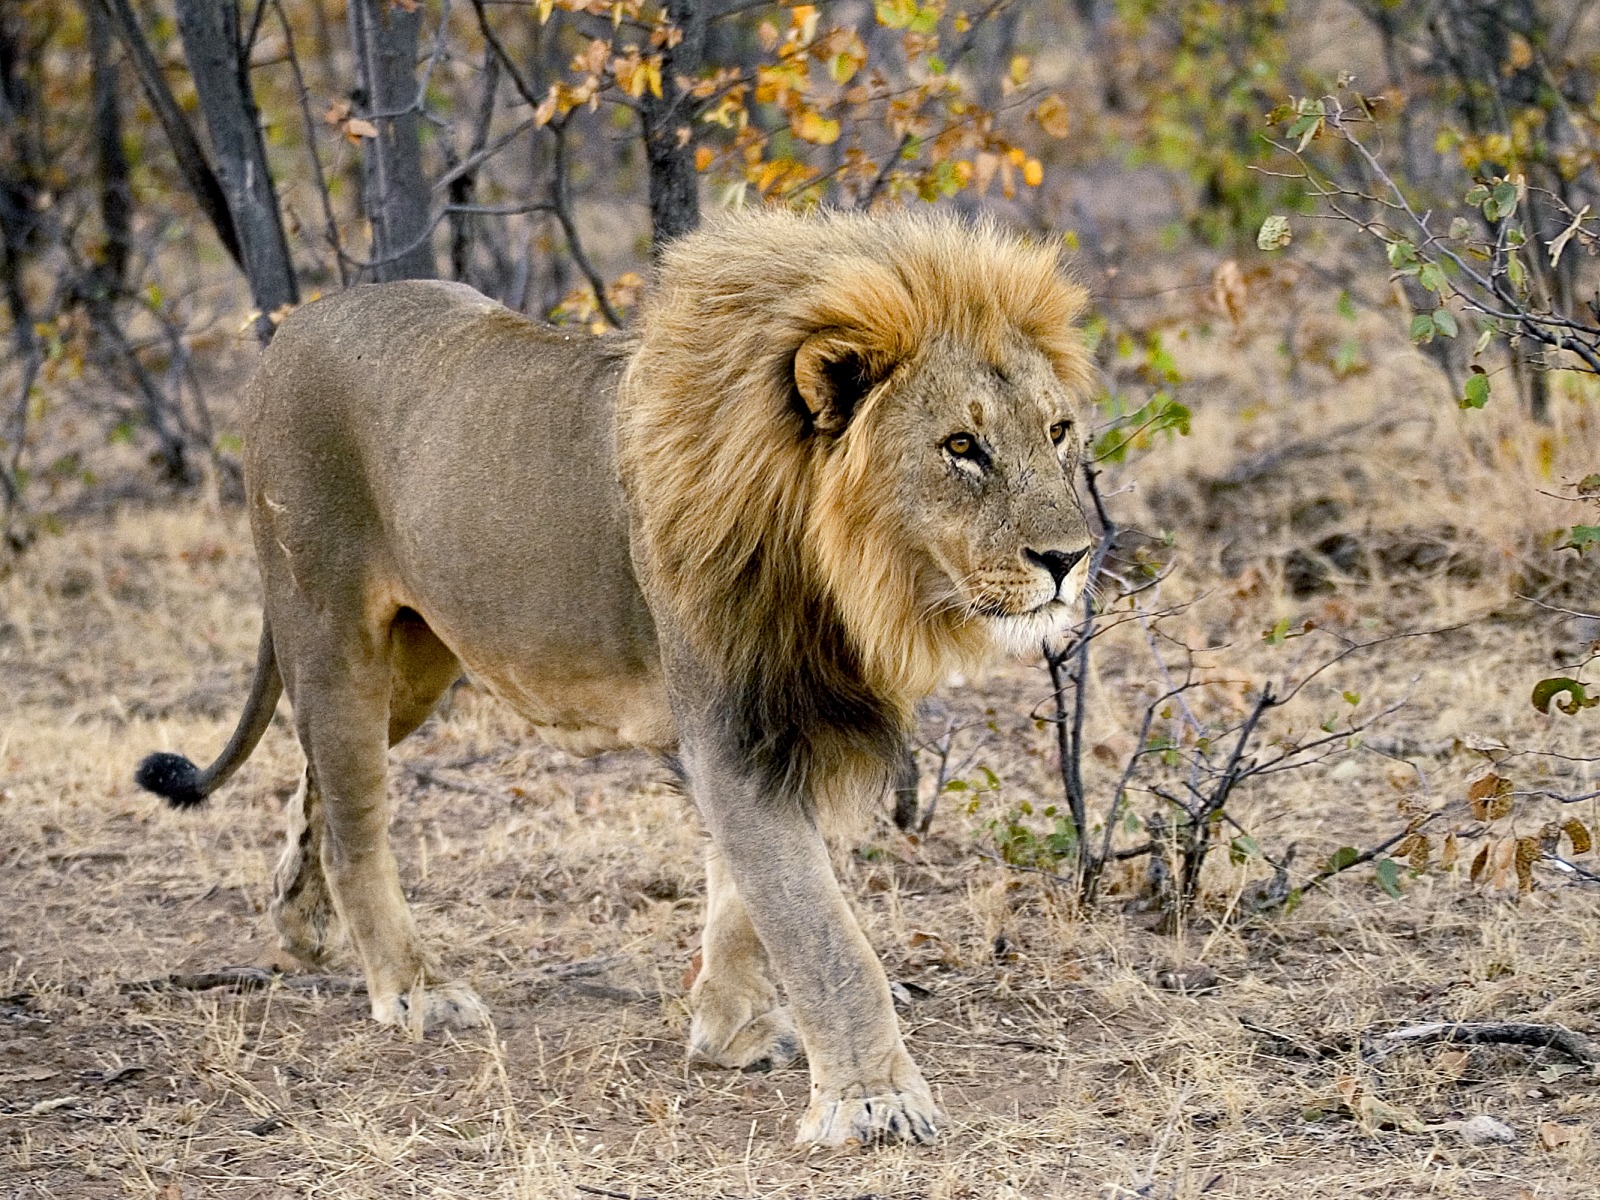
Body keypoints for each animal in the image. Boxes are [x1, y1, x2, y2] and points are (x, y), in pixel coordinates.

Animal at [134, 207, 1096, 1148]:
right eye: (962, 446)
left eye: (1057, 431)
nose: (1070, 559)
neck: (844, 576)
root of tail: (291, 328)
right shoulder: (730, 730)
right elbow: (820, 932)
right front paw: (872, 1101)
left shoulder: (790, 718)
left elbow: (744, 900)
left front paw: (731, 1030)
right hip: (333, 638)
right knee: (353, 823)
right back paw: (412, 988)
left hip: (415, 668)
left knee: (317, 782)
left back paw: (299, 922)